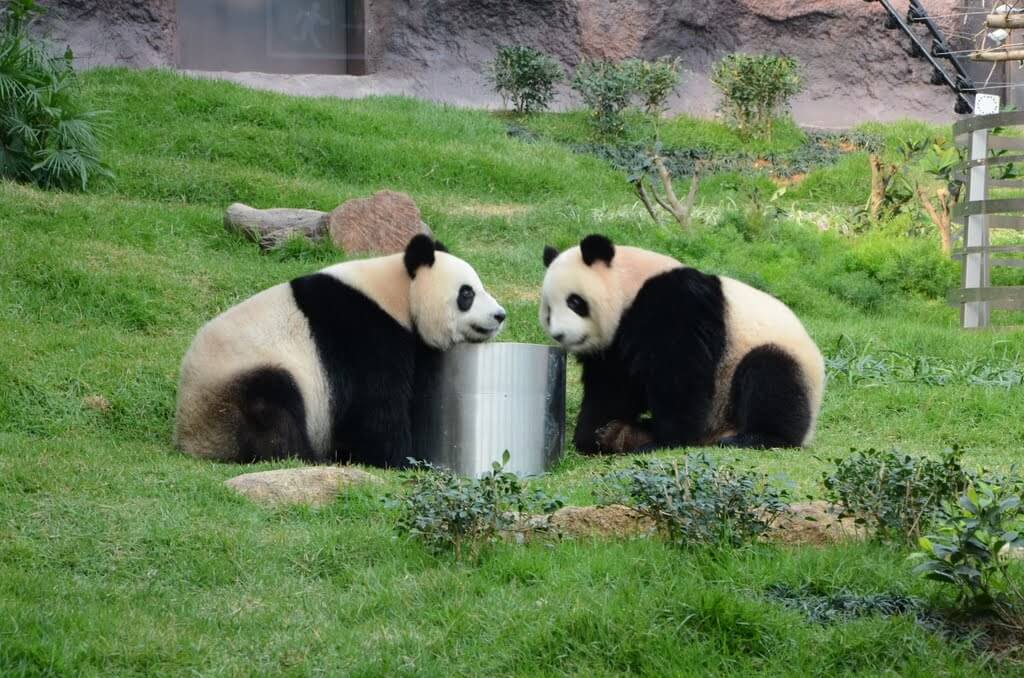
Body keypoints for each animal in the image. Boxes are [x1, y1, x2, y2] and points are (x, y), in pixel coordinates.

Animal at [174, 235, 505, 467]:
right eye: (467, 294)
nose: (500, 315)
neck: (397, 293)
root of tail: (191, 441)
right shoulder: (363, 332)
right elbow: (374, 408)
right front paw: (400, 460)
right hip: (237, 384)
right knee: (272, 408)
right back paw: (304, 458)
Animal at [540, 236, 827, 454]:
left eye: (574, 302)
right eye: (548, 311)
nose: (560, 335)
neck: (631, 284)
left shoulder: (675, 302)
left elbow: (678, 372)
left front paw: (667, 440)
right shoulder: (613, 345)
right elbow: (612, 385)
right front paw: (593, 433)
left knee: (771, 375)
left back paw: (758, 437)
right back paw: (626, 433)